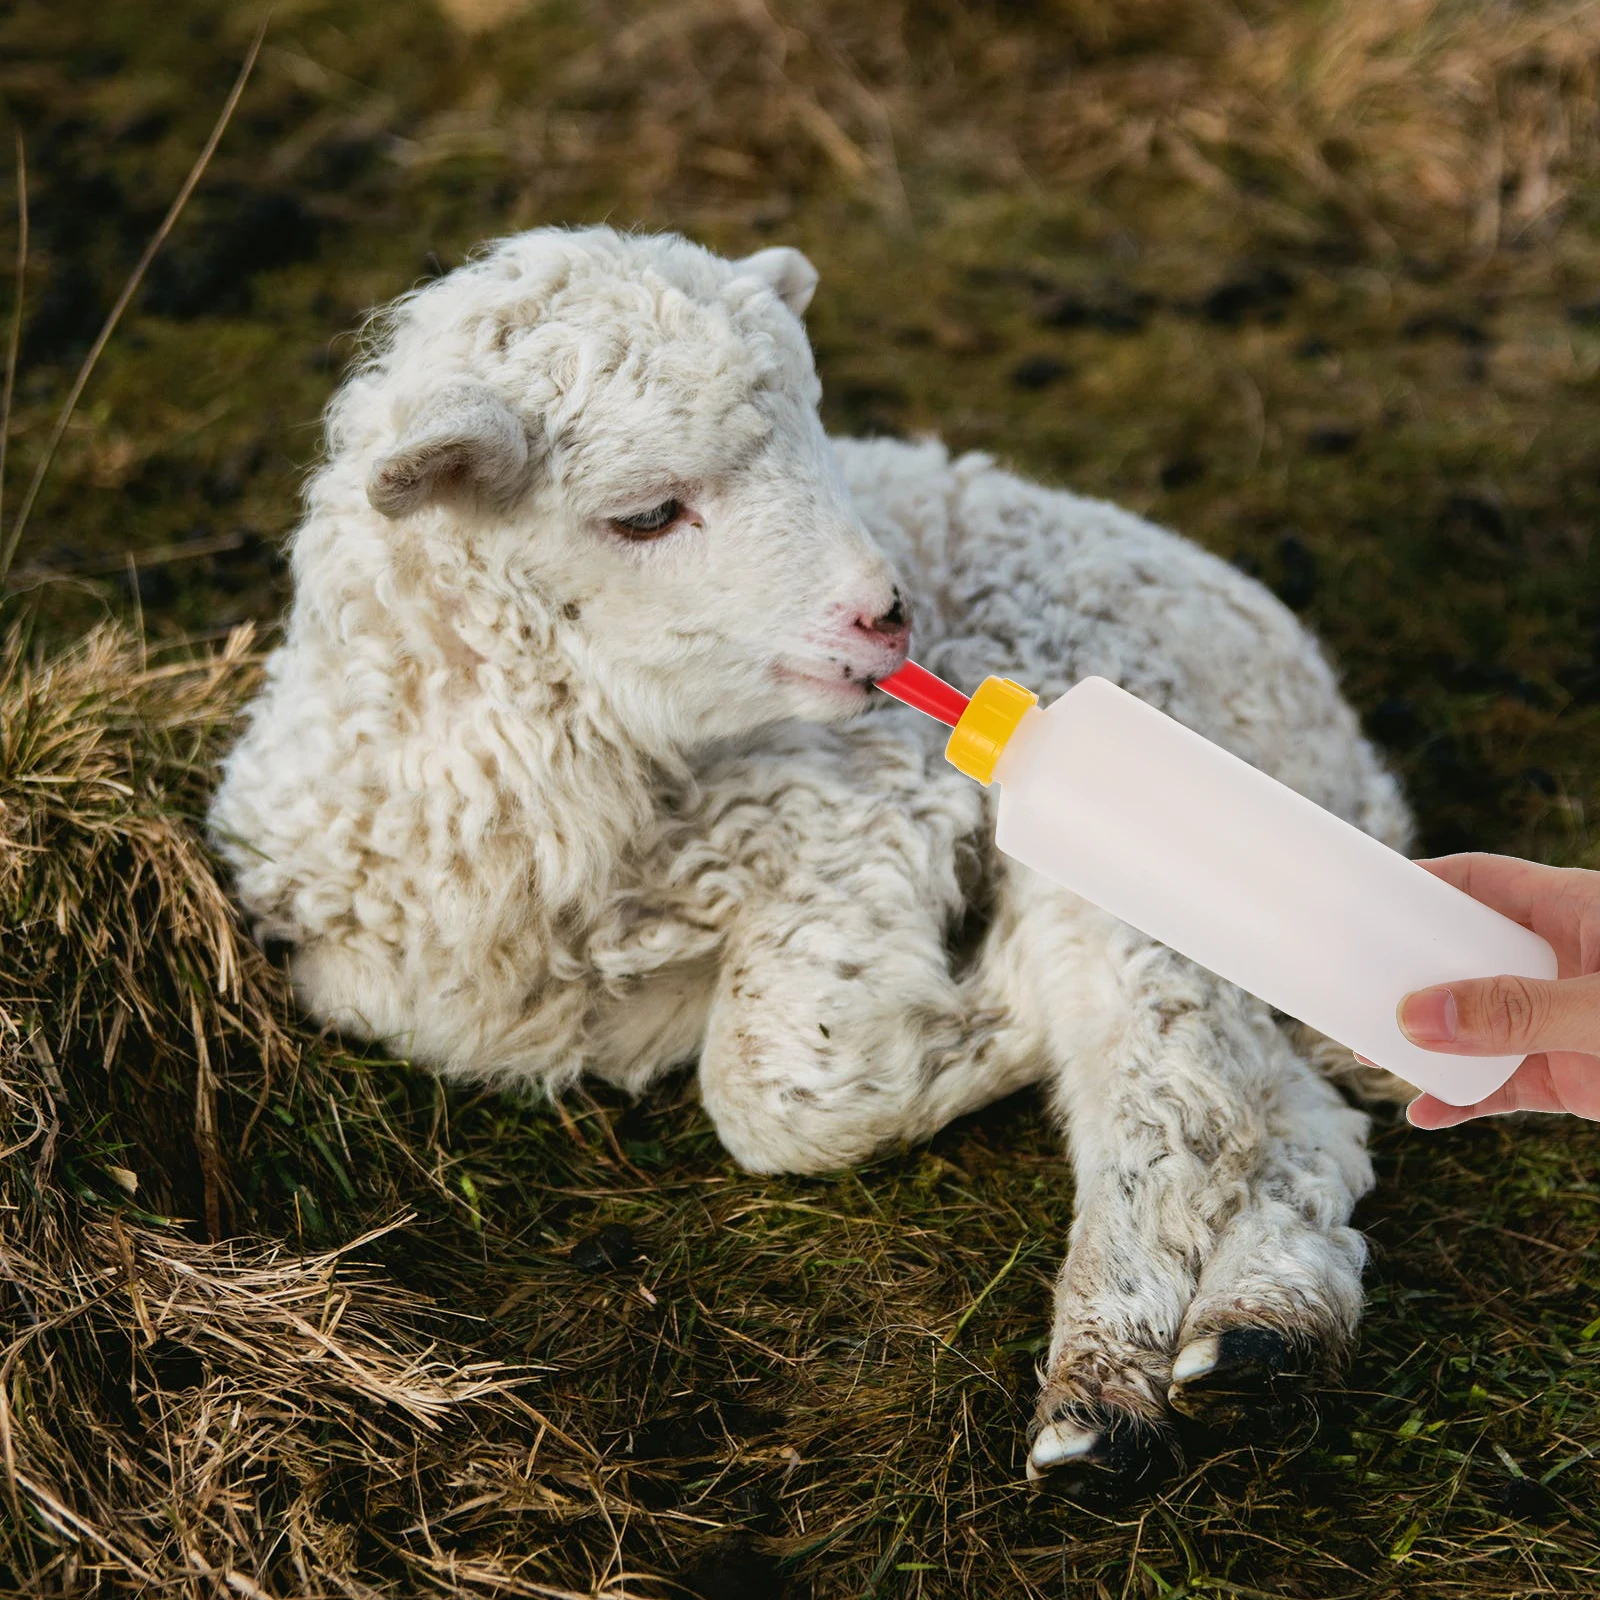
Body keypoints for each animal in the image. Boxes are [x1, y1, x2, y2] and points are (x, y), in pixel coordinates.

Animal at [209, 225, 1415, 1496]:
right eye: (646, 513)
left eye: (817, 431)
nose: (888, 615)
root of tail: (1334, 743)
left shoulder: (864, 809)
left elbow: (775, 1093)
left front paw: (993, 1008)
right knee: (1279, 1107)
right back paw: (1264, 1336)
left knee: (1167, 1086)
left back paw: (1109, 1396)